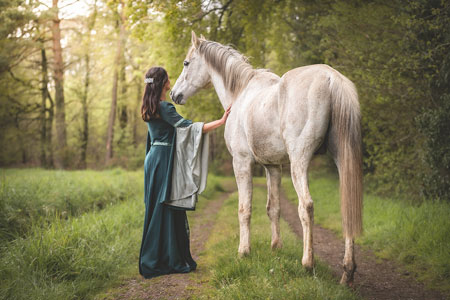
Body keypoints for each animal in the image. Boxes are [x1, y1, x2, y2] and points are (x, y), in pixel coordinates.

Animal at [171, 31, 364, 284]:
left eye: (186, 63)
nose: (174, 95)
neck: (240, 93)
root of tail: (332, 78)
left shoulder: (242, 163)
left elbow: (244, 209)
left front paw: (244, 252)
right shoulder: (273, 167)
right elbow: (273, 208)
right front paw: (276, 247)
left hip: (299, 161)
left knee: (306, 206)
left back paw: (308, 263)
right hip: (341, 159)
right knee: (347, 210)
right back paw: (347, 272)